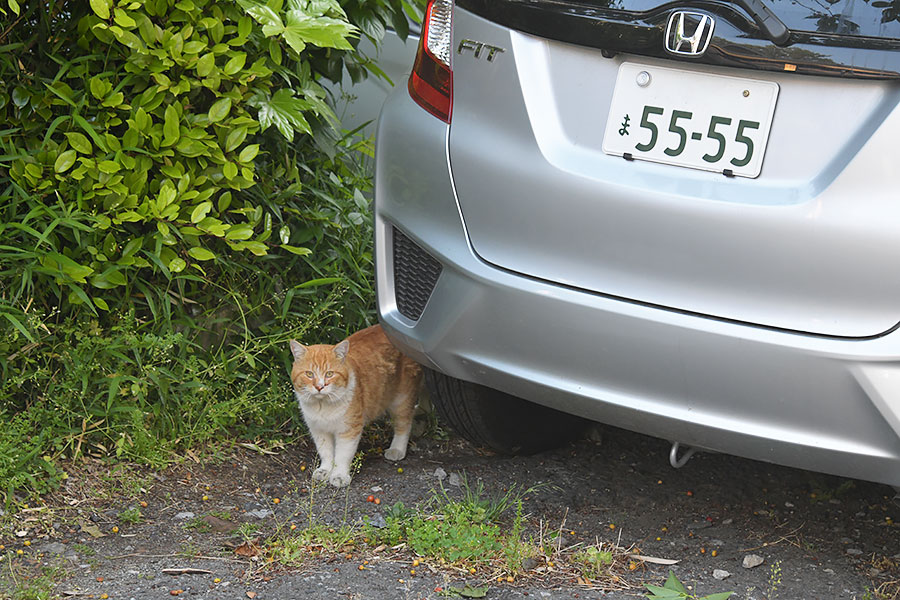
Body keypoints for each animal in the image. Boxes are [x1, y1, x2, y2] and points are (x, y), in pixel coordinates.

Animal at [292, 324, 426, 488]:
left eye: (329, 373)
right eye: (309, 374)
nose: (319, 386)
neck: (323, 407)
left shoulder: (349, 430)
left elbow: (342, 455)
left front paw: (339, 475)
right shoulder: (319, 430)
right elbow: (326, 453)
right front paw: (325, 470)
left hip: (401, 399)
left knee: (404, 424)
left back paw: (397, 449)